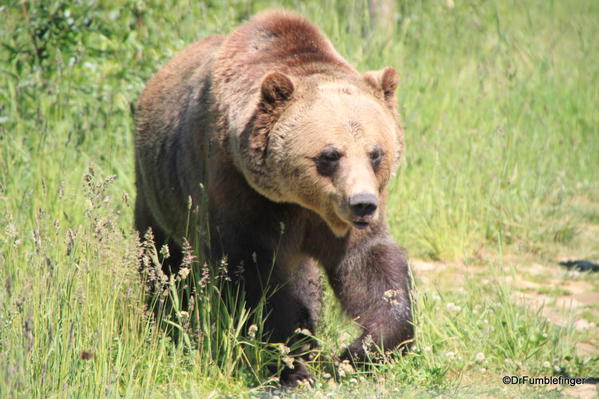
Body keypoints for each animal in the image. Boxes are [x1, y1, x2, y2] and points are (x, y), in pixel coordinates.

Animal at [137, 10, 414, 388]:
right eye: (330, 155)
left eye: (376, 153)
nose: (362, 204)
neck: (305, 203)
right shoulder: (241, 190)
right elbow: (254, 277)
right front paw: (290, 361)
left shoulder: (340, 224)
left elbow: (371, 267)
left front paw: (359, 350)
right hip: (159, 192)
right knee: (162, 260)